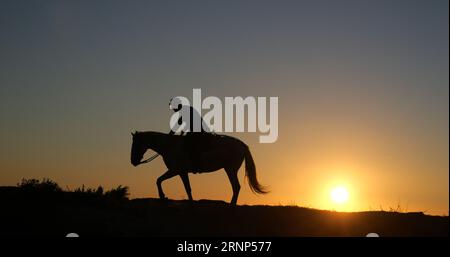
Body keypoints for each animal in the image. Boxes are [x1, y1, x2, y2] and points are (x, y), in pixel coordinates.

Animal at [130, 131, 266, 203]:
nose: (133, 161)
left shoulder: (175, 170)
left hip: (230, 169)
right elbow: (188, 188)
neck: (169, 145)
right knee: (235, 187)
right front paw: (191, 202)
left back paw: (231, 205)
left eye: (135, 144)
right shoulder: (182, 172)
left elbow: (158, 180)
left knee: (236, 187)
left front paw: (162, 196)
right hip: (229, 169)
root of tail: (242, 145)